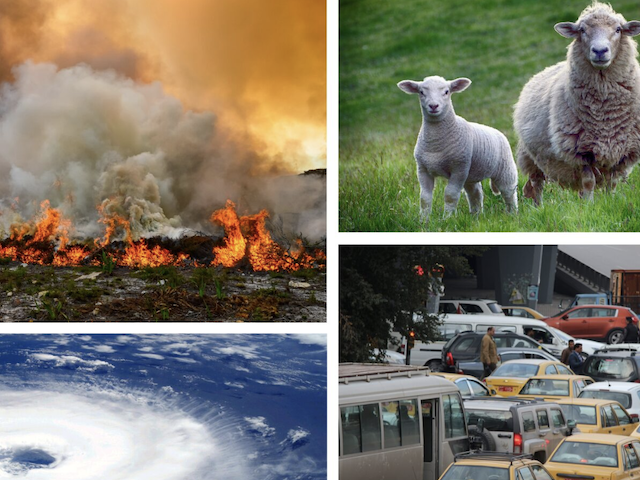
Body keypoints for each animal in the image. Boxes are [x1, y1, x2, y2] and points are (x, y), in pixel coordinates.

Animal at [398, 75, 516, 225]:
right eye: (421, 92)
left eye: (446, 92)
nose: (433, 106)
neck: (435, 144)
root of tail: (498, 132)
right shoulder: (422, 169)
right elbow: (424, 198)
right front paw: (423, 221)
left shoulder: (459, 168)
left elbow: (450, 195)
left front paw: (447, 219)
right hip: (471, 175)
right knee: (475, 194)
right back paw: (476, 216)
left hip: (505, 168)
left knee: (509, 191)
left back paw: (513, 214)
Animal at [512, 1, 640, 204]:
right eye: (582, 30)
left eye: (618, 29)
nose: (600, 51)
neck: (605, 114)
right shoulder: (580, 152)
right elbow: (588, 181)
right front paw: (589, 205)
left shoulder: (623, 151)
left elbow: (612, 182)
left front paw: (609, 201)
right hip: (530, 157)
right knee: (535, 184)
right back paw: (538, 207)